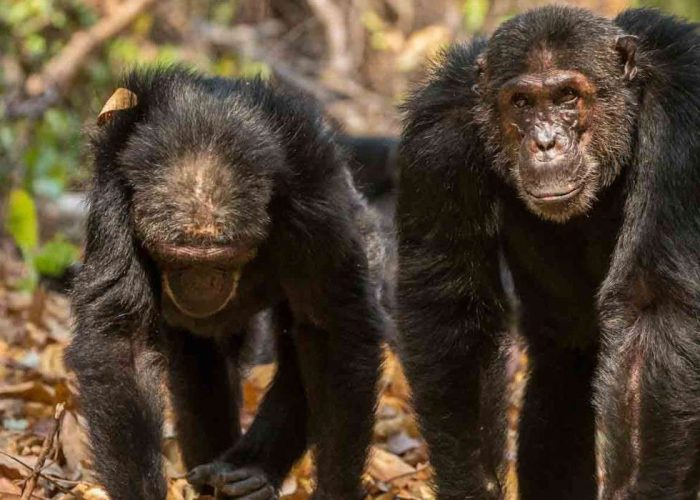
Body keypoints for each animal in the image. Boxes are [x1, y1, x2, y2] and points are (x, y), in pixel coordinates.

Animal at [66, 67, 392, 500]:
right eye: (177, 257)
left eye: (225, 257)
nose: (201, 283)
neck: (207, 130)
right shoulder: (114, 199)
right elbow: (123, 344)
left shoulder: (315, 203)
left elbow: (334, 331)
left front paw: (334, 491)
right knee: (199, 363)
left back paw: (249, 470)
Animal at [396, 7, 700, 500]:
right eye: (521, 102)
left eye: (567, 96)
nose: (545, 142)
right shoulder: (438, 141)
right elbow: (452, 310)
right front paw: (474, 485)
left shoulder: (683, 124)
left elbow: (651, 308)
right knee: (564, 359)